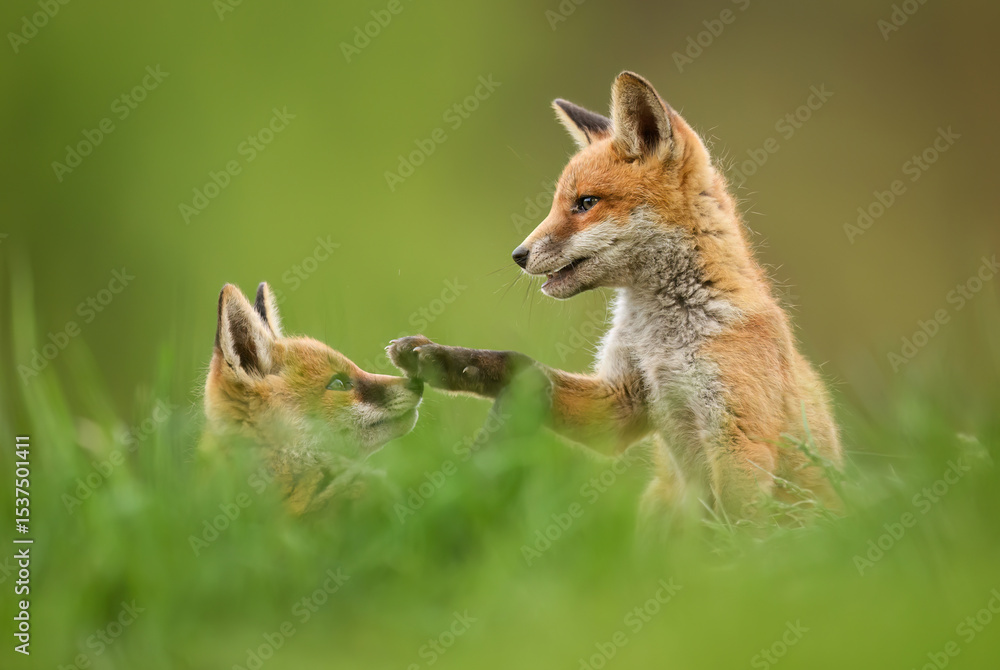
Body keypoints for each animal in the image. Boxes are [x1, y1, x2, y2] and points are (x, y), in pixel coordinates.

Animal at [389, 71, 844, 525]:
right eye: (559, 203)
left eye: (585, 203)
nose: (518, 255)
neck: (660, 337)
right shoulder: (620, 403)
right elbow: (521, 365)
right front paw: (444, 361)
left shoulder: (739, 439)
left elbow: (739, 524)